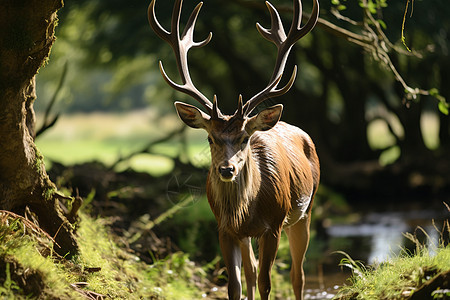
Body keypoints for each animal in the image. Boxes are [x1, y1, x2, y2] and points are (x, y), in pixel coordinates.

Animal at [148, 0, 320, 298]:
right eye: (210, 138)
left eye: (244, 138)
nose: (226, 169)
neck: (247, 210)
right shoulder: (225, 228)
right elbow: (235, 284)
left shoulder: (274, 225)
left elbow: (266, 282)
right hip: (250, 233)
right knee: (251, 272)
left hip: (305, 210)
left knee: (298, 275)